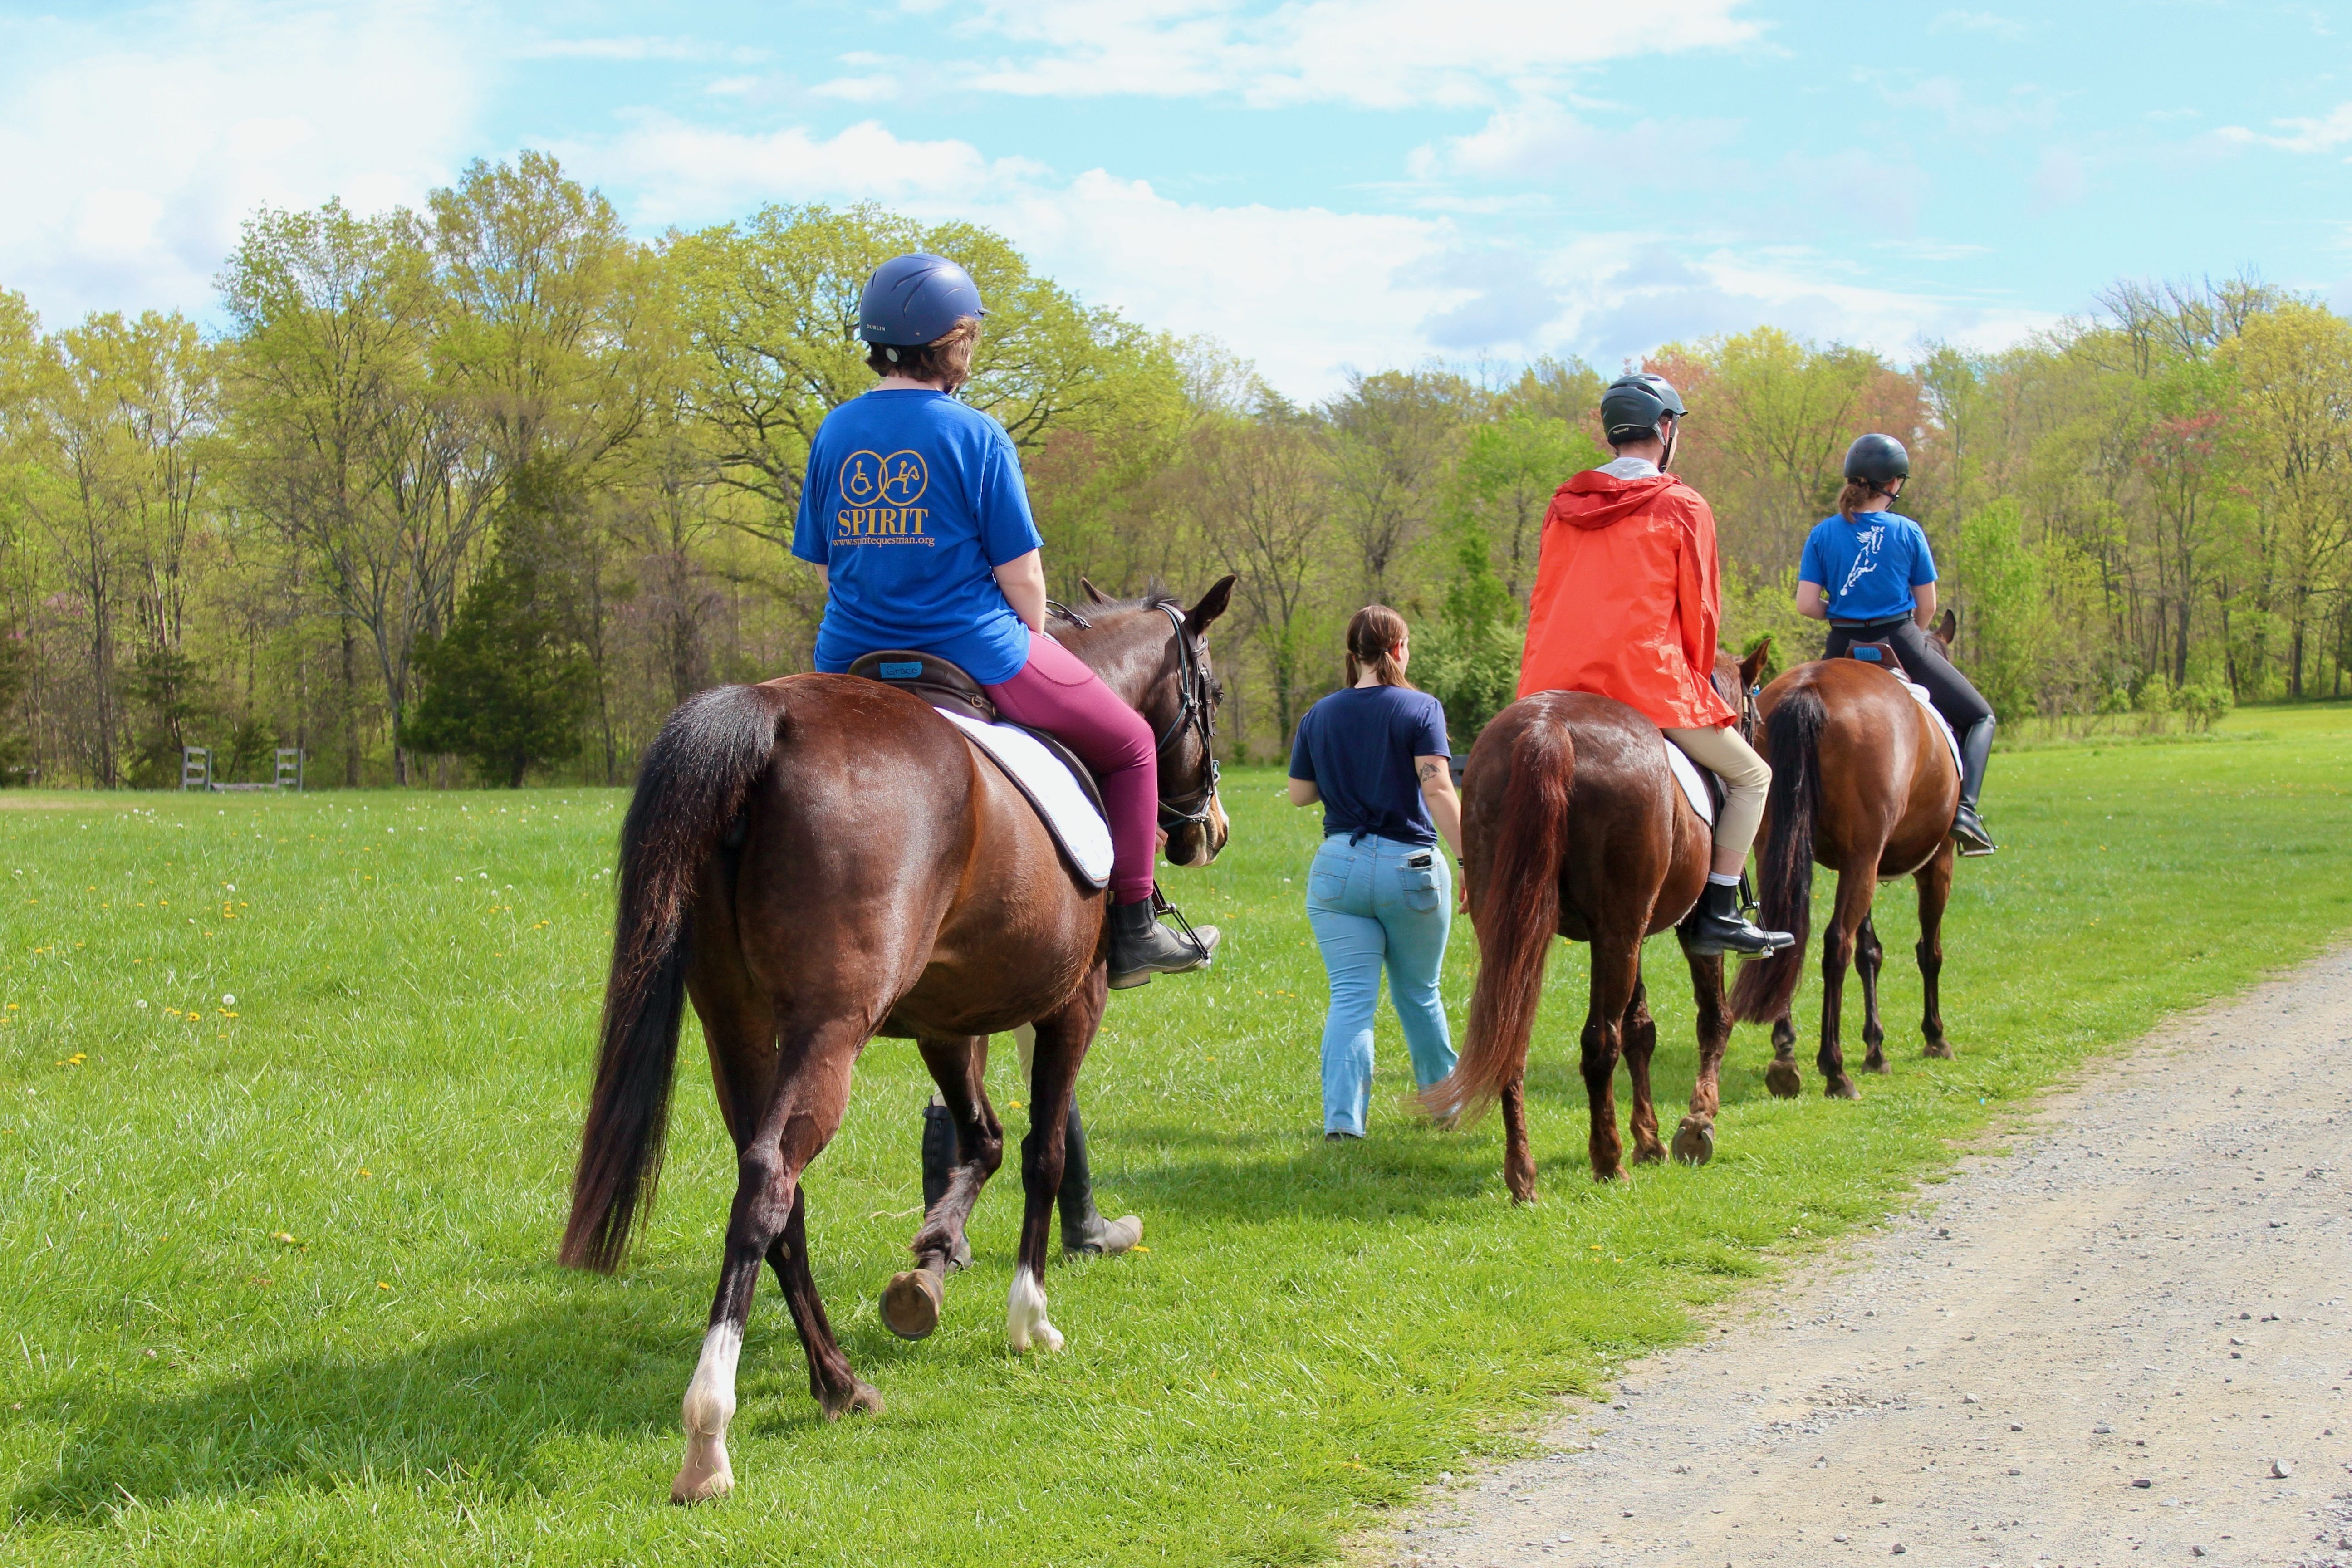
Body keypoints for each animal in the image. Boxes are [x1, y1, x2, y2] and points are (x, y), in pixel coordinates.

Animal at [562, 580, 1242, 1504]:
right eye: (1212, 693)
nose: (1212, 827)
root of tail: (773, 715)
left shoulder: (946, 1022)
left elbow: (981, 1142)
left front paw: (930, 1264)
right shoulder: (1075, 1005)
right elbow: (1043, 1151)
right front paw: (1028, 1317)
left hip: (737, 1027)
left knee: (779, 1190)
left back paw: (839, 1383)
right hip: (828, 1029)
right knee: (770, 1179)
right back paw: (709, 1434)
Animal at [1411, 644, 1769, 1194]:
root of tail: (1548, 727)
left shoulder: (1631, 933)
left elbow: (1642, 1030)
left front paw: (1651, 1139)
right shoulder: (1679, 932)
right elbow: (1713, 1018)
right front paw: (1697, 1122)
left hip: (1531, 931)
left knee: (1513, 1035)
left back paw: (1523, 1175)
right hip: (1618, 933)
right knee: (1601, 1043)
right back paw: (1607, 1161)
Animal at [1731, 606, 1966, 1100]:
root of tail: (1809, 690)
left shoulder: (1862, 863)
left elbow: (1871, 951)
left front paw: (1876, 1047)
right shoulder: (1936, 861)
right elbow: (1928, 949)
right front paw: (1934, 1035)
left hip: (1784, 848)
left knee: (1789, 933)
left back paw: (1786, 1055)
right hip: (1868, 860)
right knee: (1837, 944)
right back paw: (1833, 1067)